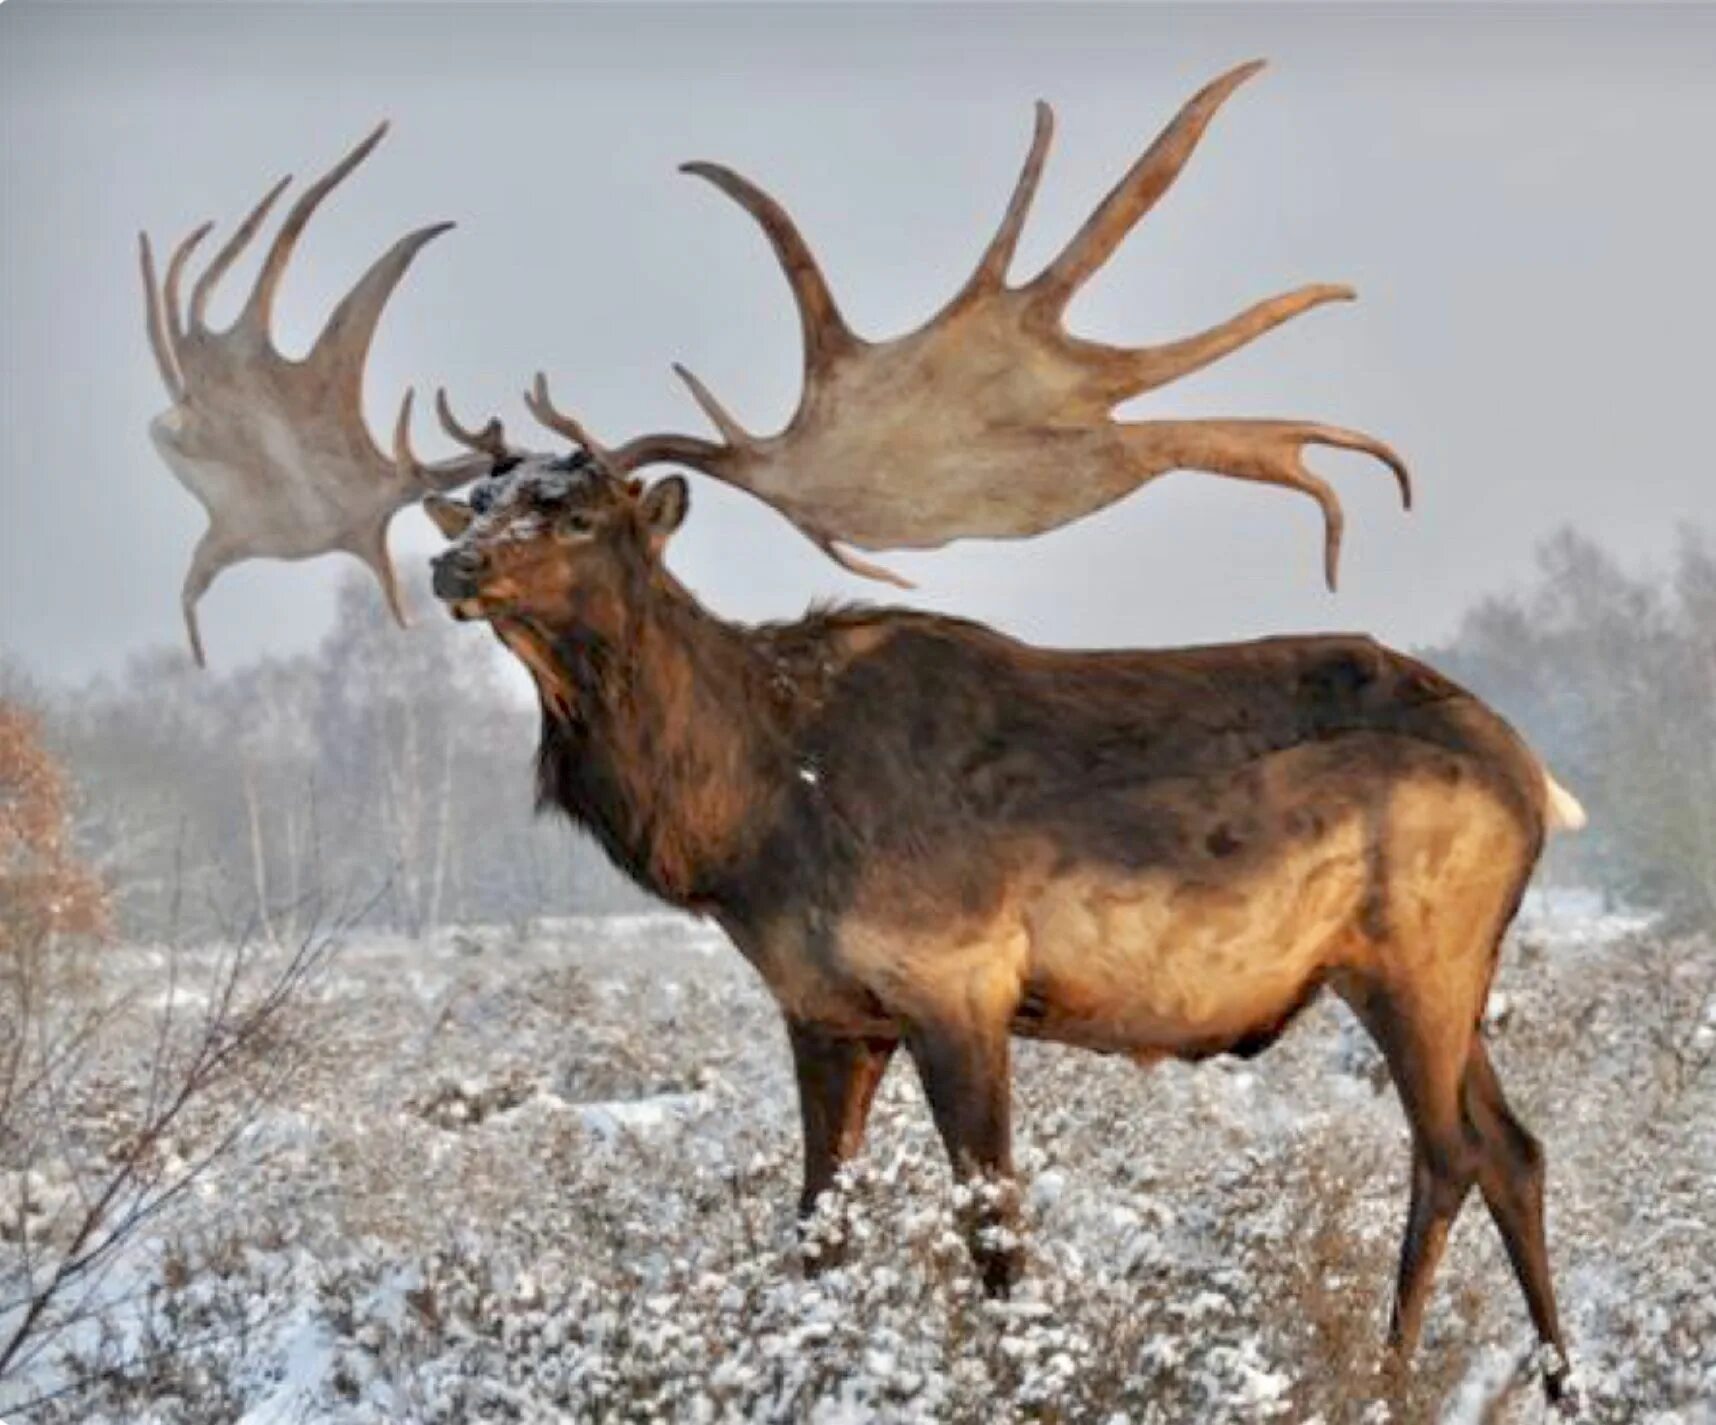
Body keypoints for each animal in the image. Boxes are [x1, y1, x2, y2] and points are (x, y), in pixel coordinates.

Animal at [140, 64, 1585, 1407]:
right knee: (1514, 1147)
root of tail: (1532, 773)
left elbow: (996, 1243)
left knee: (1451, 1148)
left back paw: (1391, 1380)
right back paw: (1557, 1383)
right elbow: (813, 1240)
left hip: (1419, 945)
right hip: (1414, 966)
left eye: (581, 508)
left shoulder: (960, 979)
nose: (454, 563)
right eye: (485, 497)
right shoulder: (826, 1010)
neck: (752, 820)